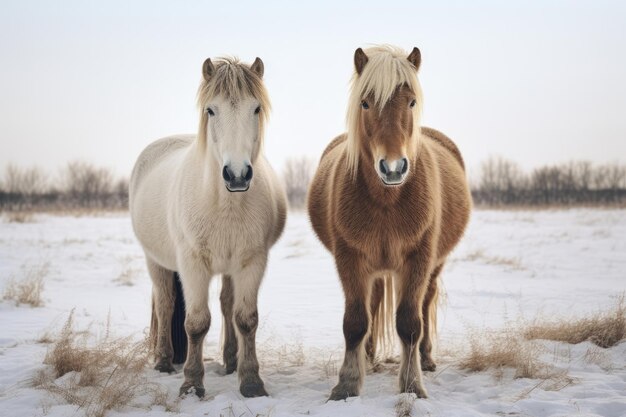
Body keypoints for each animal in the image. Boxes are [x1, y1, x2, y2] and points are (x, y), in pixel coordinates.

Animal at [132, 56, 288, 396]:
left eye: (256, 108)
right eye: (211, 110)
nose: (237, 175)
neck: (223, 203)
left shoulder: (251, 262)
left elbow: (246, 319)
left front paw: (251, 381)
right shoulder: (193, 264)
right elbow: (196, 323)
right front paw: (191, 384)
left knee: (227, 306)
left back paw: (230, 361)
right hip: (155, 261)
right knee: (165, 305)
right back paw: (164, 361)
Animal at [308, 45, 468, 400]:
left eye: (411, 101)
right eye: (365, 103)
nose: (393, 168)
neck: (387, 200)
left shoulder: (418, 259)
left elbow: (409, 323)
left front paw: (412, 385)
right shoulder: (350, 258)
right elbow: (355, 321)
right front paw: (347, 383)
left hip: (434, 266)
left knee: (426, 302)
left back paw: (427, 358)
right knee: (374, 302)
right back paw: (368, 357)